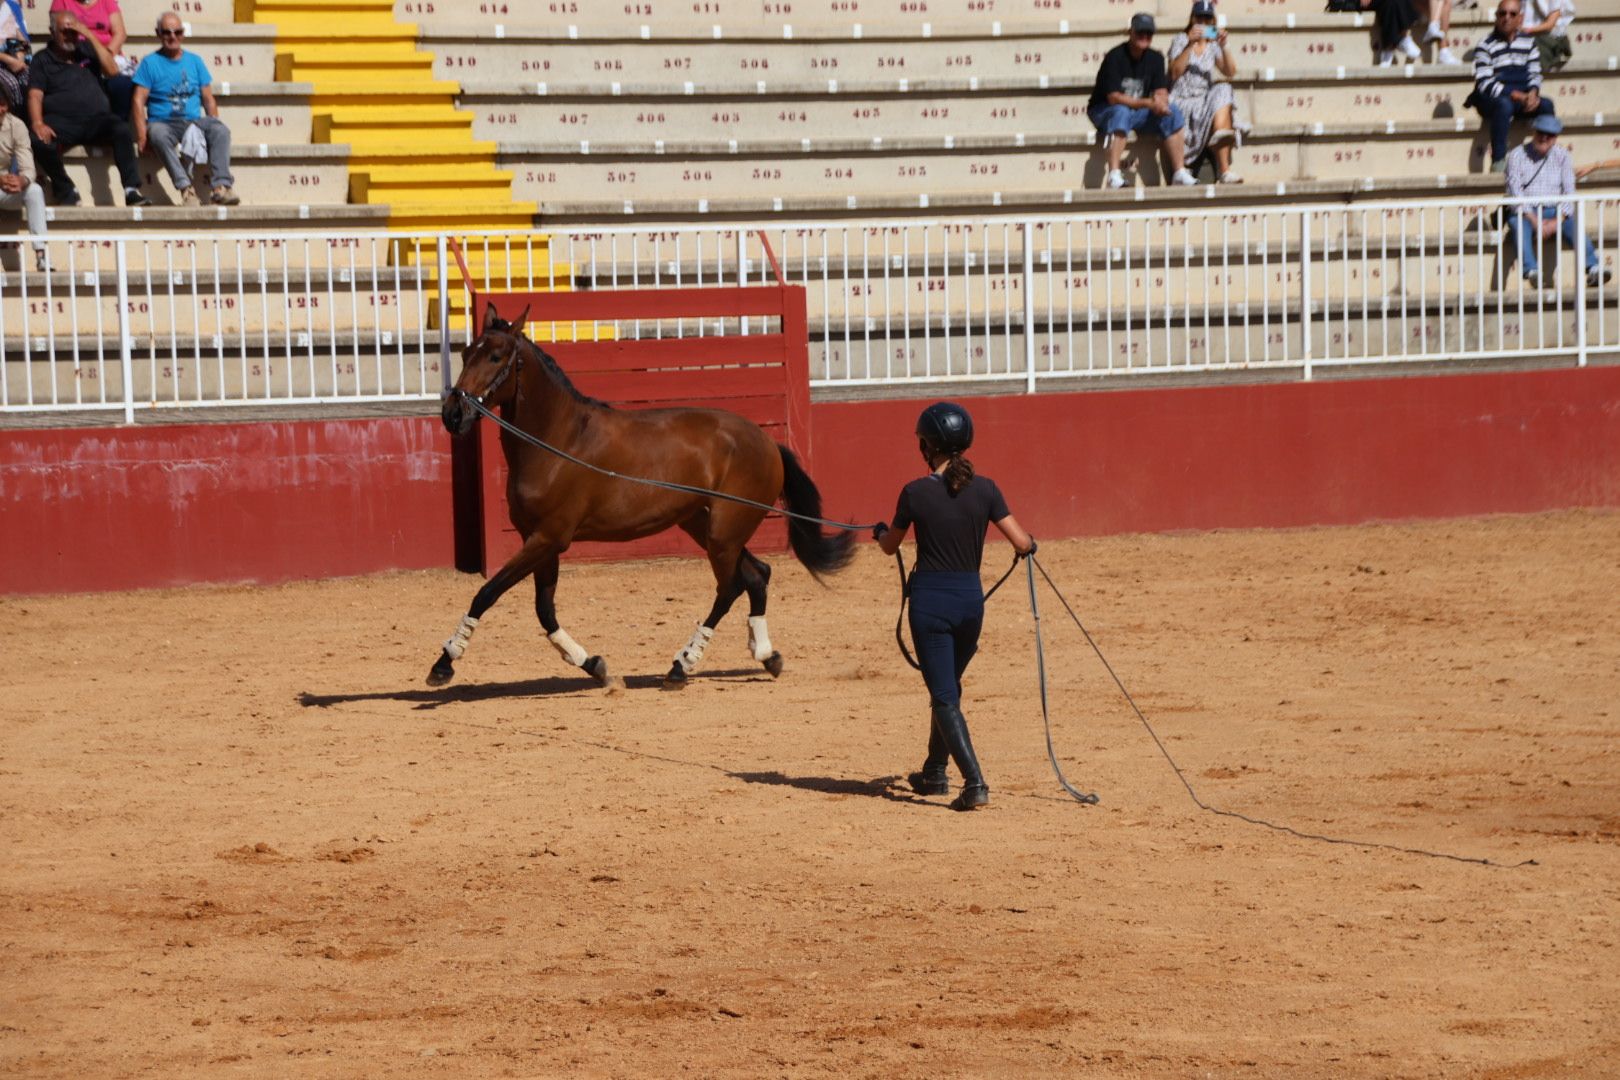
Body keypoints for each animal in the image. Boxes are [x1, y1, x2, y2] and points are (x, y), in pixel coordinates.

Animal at [430, 304, 861, 693]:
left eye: (496, 356)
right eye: (466, 354)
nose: (453, 414)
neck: (557, 442)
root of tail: (767, 442)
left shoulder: (548, 538)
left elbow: (486, 593)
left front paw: (443, 664)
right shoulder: (539, 542)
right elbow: (544, 611)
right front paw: (595, 666)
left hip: (724, 533)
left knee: (731, 588)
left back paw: (681, 666)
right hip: (706, 527)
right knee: (758, 576)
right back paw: (766, 656)